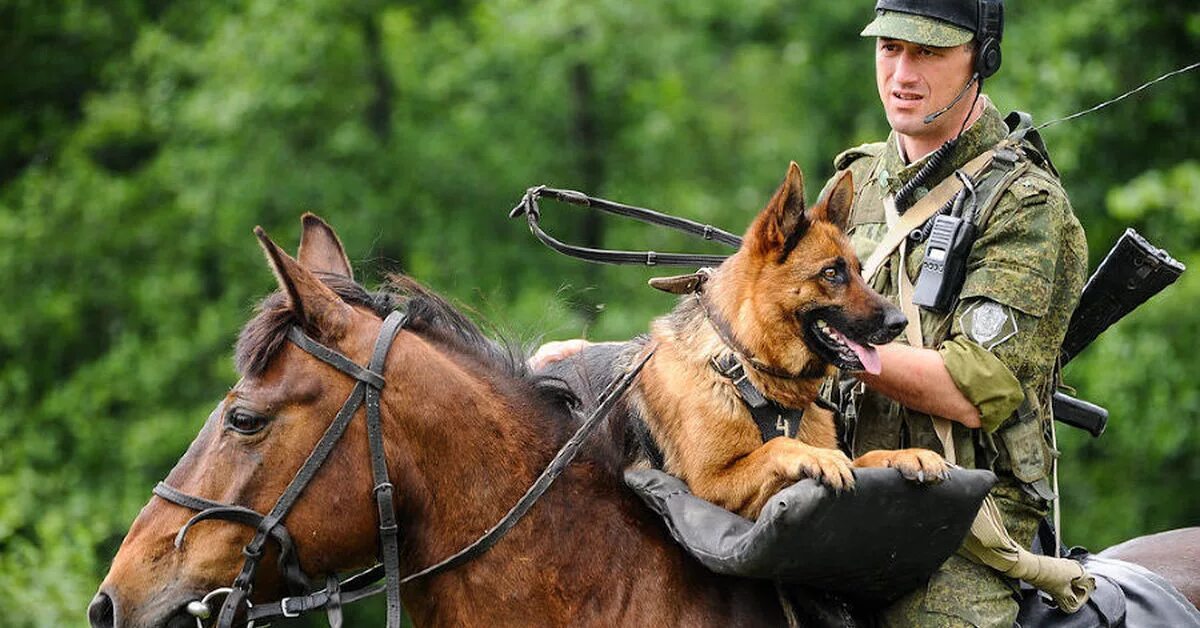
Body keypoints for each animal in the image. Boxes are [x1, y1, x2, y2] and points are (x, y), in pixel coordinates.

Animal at [624, 163, 940, 521]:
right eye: (831, 273)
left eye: (859, 272)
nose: (899, 322)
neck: (745, 369)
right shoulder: (708, 488)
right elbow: (778, 445)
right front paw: (817, 456)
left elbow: (862, 458)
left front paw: (907, 455)